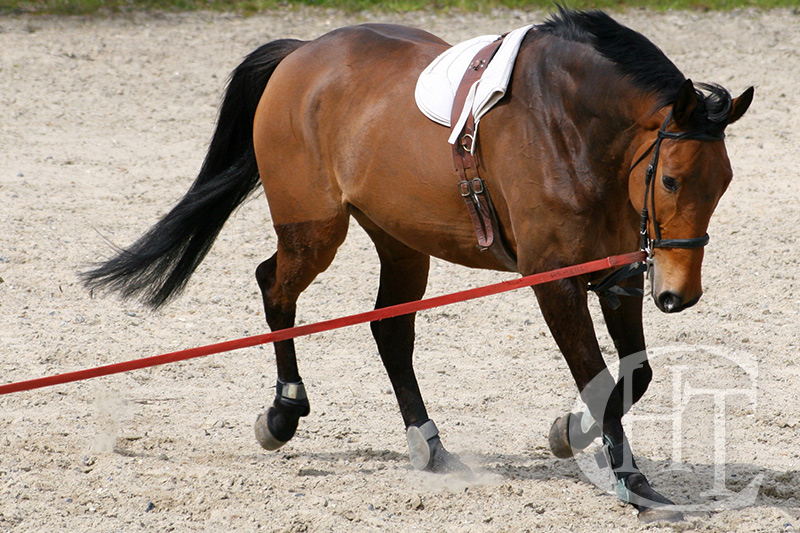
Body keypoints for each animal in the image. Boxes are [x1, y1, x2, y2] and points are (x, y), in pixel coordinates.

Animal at [81, 7, 753, 522]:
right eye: (670, 180)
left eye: (725, 184)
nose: (680, 295)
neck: (573, 128)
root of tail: (302, 55)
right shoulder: (556, 282)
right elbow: (601, 380)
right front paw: (615, 470)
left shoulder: (618, 280)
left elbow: (633, 377)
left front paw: (584, 442)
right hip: (315, 231)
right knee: (275, 288)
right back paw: (282, 413)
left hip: (402, 242)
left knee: (389, 329)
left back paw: (426, 442)